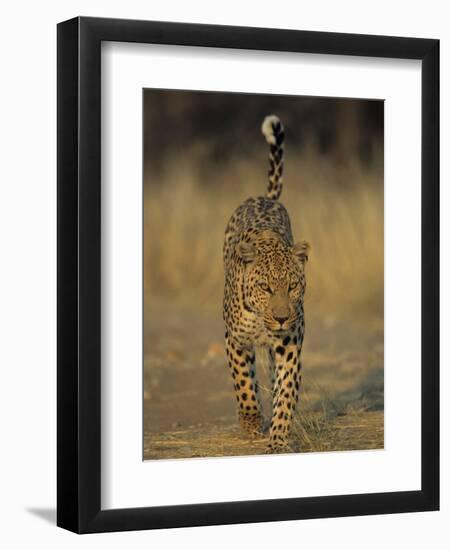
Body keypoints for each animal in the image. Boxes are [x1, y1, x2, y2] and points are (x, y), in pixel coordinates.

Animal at [222, 114, 310, 454]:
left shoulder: (289, 345)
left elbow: (285, 393)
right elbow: (243, 383)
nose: (283, 318)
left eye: (293, 287)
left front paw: (279, 438)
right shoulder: (235, 339)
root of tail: (264, 198)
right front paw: (250, 422)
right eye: (265, 288)